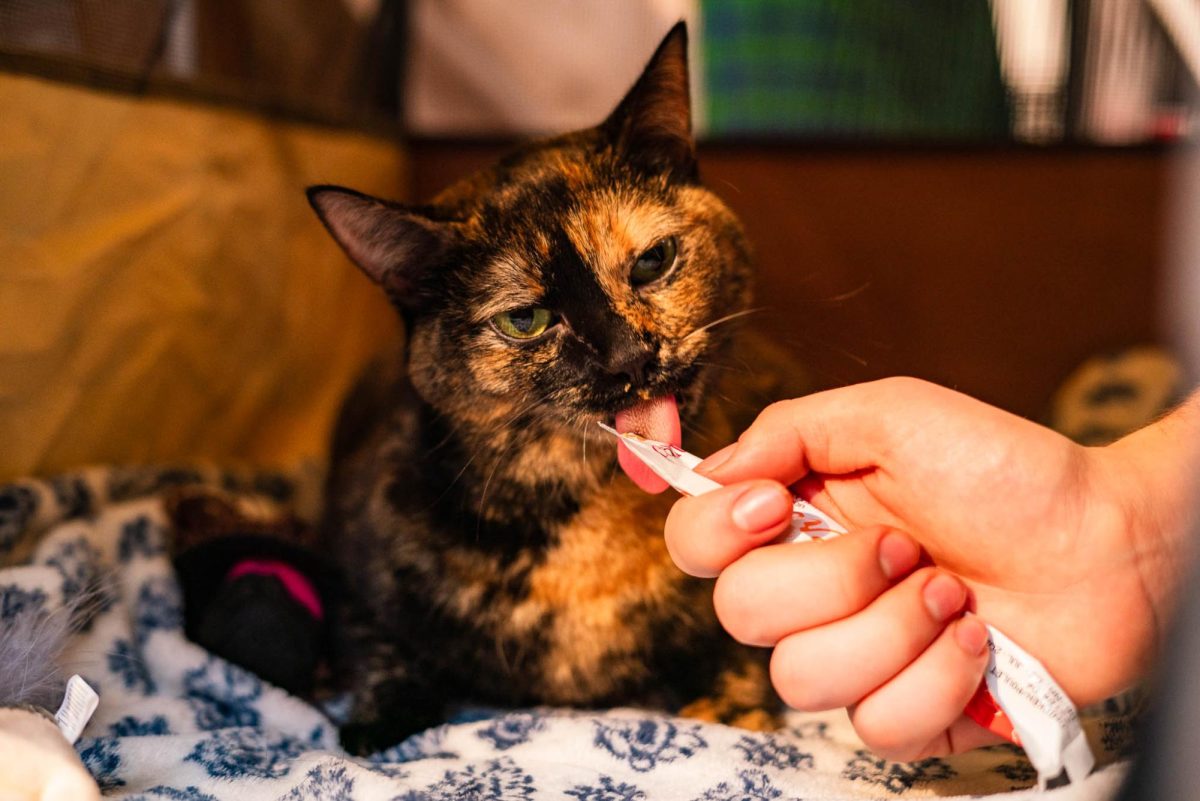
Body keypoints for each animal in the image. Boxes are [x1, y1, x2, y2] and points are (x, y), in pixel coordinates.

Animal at [307, 21, 806, 753]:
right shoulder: (346, 569)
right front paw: (373, 726)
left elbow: (742, 645)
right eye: (525, 320)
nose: (631, 358)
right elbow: (379, 648)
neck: (594, 525)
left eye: (653, 261)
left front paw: (732, 710)